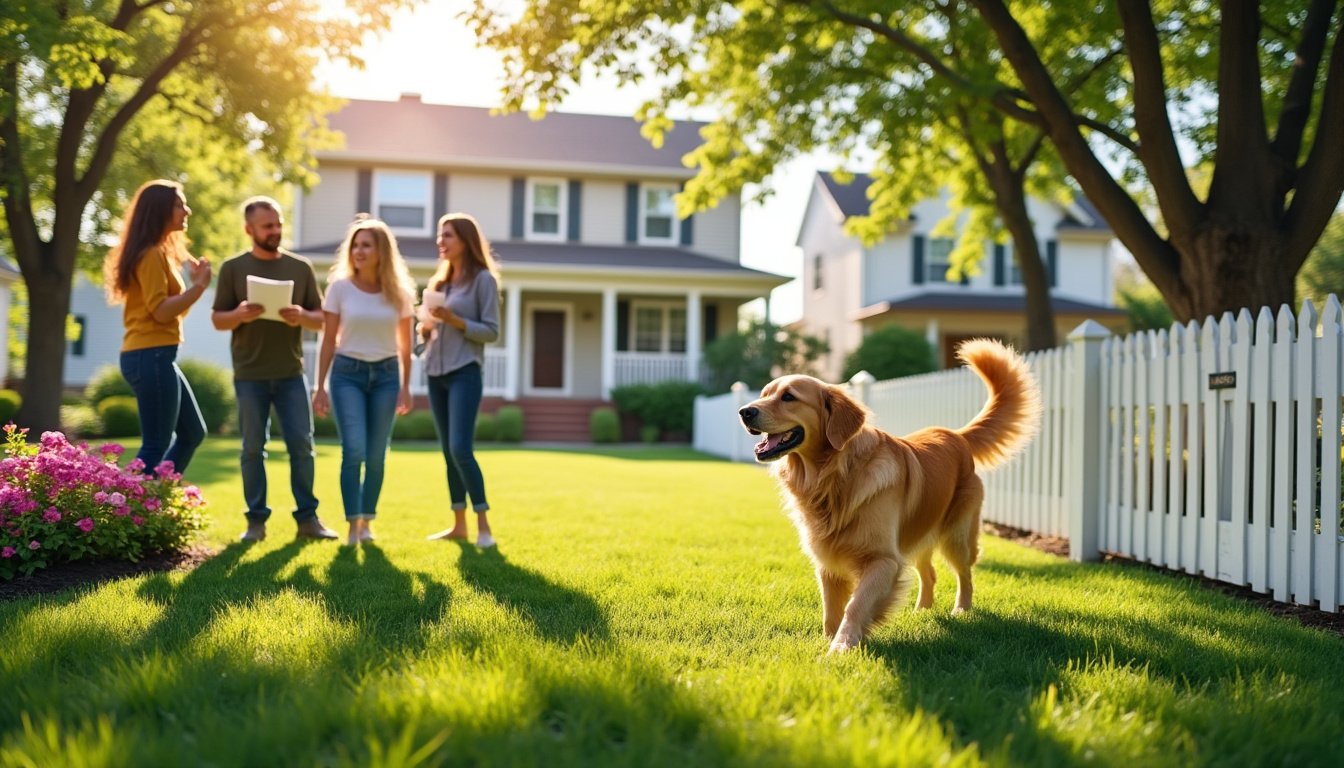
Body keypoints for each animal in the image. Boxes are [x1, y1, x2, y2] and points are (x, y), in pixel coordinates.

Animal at [736, 338, 1037, 650]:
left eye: (789, 397)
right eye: (764, 394)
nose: (745, 411)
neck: (835, 475)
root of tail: (956, 435)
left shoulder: (883, 560)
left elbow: (855, 605)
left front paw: (842, 646)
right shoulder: (828, 561)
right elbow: (830, 609)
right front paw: (828, 640)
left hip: (957, 534)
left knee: (965, 573)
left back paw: (961, 610)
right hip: (918, 533)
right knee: (930, 573)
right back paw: (922, 611)